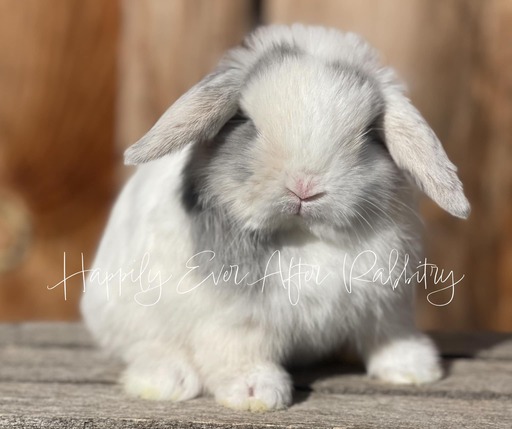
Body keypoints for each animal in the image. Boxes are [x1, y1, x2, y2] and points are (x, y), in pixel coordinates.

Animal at [82, 24, 470, 412]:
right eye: (245, 121)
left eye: (369, 133)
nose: (305, 186)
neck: (303, 236)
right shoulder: (235, 316)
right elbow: (240, 349)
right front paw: (256, 393)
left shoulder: (388, 299)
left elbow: (390, 333)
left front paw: (415, 369)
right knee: (146, 346)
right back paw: (164, 380)